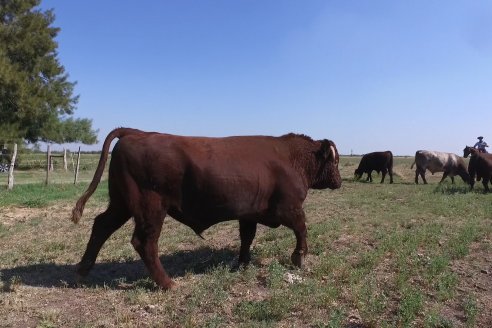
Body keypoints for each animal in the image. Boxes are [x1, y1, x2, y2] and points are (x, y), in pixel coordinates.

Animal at [72, 127, 342, 288]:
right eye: (335, 160)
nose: (339, 181)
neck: (291, 158)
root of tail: (137, 132)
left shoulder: (249, 214)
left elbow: (247, 237)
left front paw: (242, 263)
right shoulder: (289, 208)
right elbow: (302, 228)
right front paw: (299, 257)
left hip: (121, 204)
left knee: (101, 226)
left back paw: (82, 270)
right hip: (151, 209)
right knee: (144, 242)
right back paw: (167, 283)